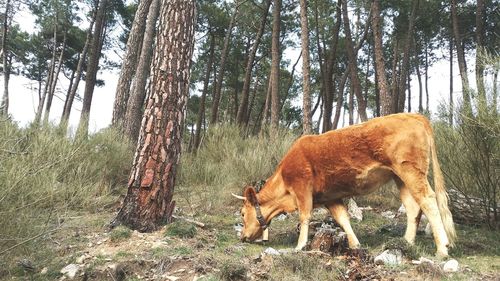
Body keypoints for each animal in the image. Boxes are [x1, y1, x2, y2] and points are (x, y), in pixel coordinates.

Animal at [232, 113, 456, 256]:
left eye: (242, 213)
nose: (242, 237)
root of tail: (415, 116)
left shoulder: (302, 188)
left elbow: (305, 216)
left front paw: (300, 246)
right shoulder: (331, 197)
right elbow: (343, 219)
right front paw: (355, 244)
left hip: (411, 172)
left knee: (428, 201)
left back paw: (442, 249)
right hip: (400, 177)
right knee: (412, 207)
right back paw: (406, 243)